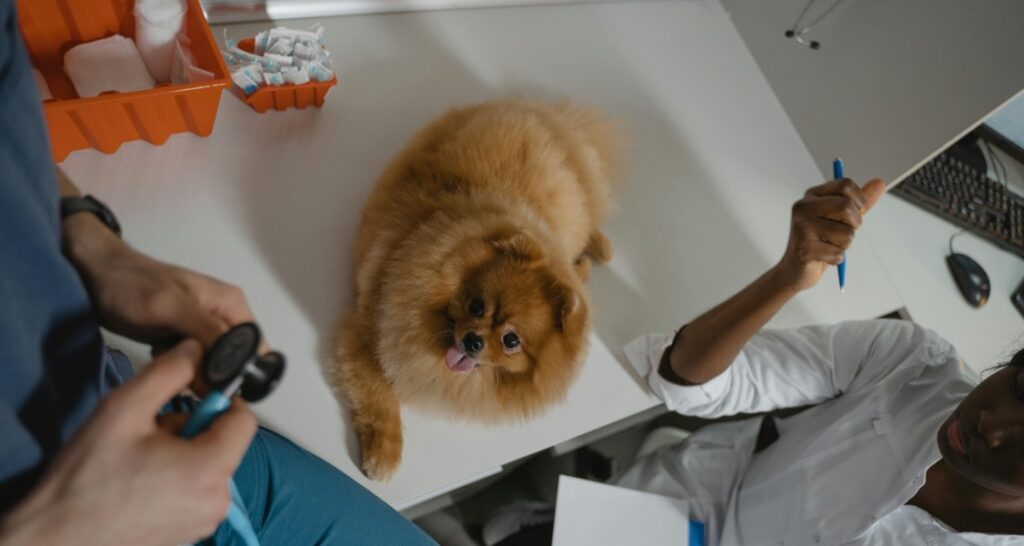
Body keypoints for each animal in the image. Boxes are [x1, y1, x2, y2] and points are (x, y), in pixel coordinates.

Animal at [331, 98, 614, 481]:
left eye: (512, 340)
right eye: (477, 306)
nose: (473, 341)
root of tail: (551, 117)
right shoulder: (367, 331)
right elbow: (380, 399)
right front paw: (385, 454)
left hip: (573, 212)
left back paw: (596, 255)